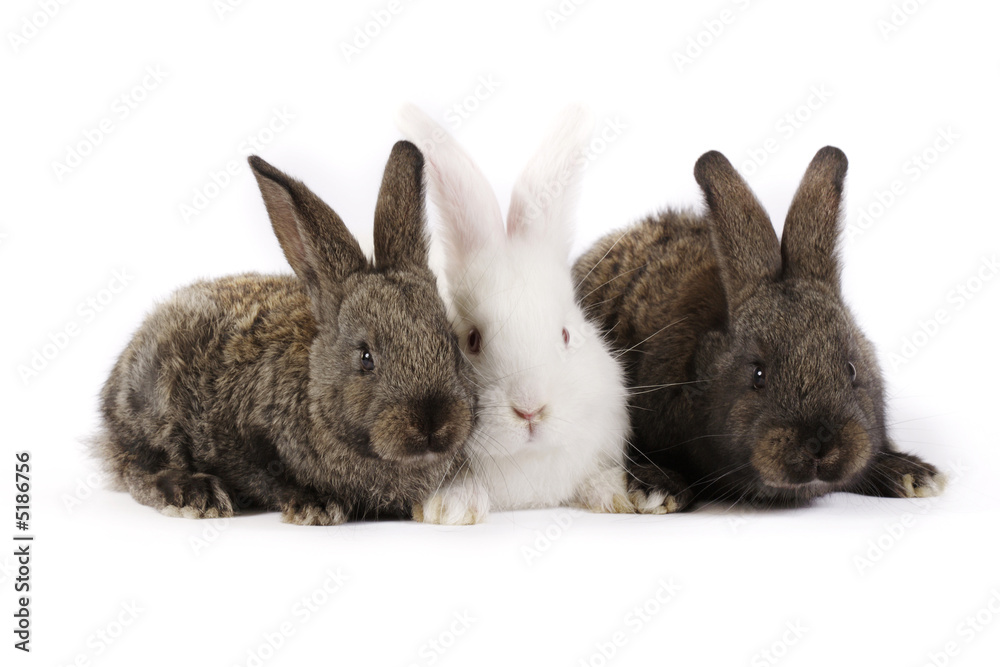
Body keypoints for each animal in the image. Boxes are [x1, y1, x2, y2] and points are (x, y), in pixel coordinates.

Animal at [95, 141, 476, 525]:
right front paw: (316, 507)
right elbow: (267, 478)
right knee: (139, 468)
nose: (432, 424)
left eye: (452, 345)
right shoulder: (242, 440)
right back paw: (196, 495)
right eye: (366, 357)